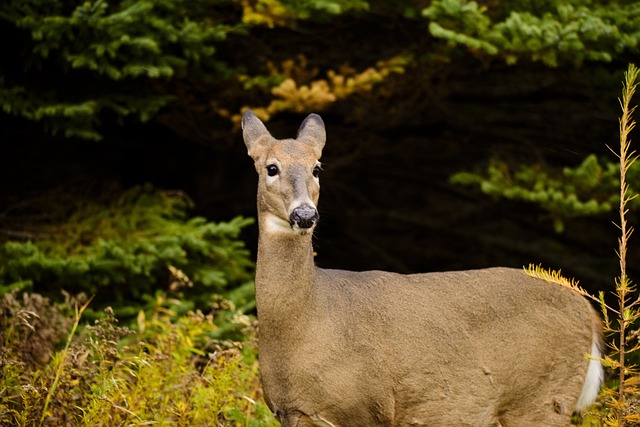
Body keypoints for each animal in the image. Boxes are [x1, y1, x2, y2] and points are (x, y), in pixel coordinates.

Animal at [241, 110, 604, 427]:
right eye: (271, 167)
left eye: (316, 168)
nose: (305, 214)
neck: (308, 323)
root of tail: (588, 312)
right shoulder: (291, 411)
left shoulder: (369, 406)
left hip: (543, 398)